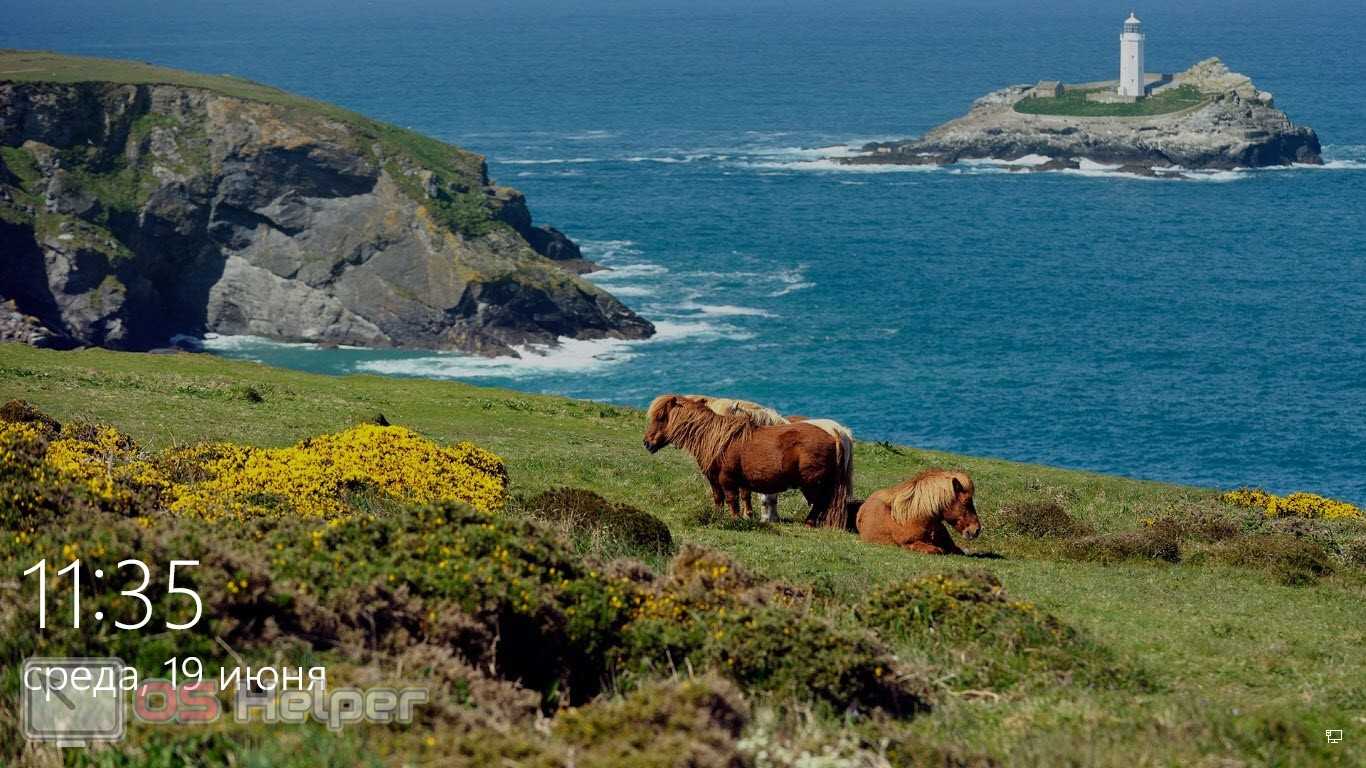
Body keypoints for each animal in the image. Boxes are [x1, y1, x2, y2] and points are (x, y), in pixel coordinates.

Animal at [644, 393, 846, 524]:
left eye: (661, 417)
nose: (646, 443)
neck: (715, 437)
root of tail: (834, 436)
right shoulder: (714, 479)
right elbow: (719, 498)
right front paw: (718, 518)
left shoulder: (728, 480)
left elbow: (732, 500)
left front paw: (736, 520)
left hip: (812, 484)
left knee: (820, 503)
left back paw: (809, 523)